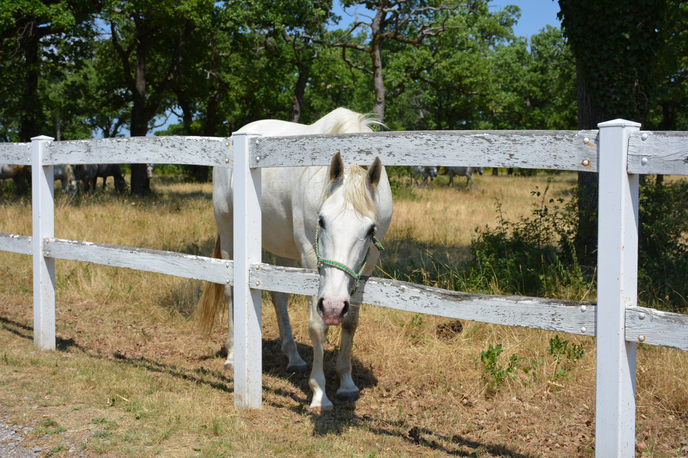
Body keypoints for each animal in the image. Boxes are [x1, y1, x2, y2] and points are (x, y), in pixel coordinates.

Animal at [196, 106, 396, 412]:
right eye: (321, 221)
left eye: (370, 230)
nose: (334, 306)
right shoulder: (310, 260)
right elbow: (317, 327)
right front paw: (319, 393)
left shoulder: (367, 264)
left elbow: (350, 323)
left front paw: (347, 384)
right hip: (229, 232)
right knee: (231, 291)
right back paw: (231, 356)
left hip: (283, 248)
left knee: (279, 298)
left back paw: (293, 357)